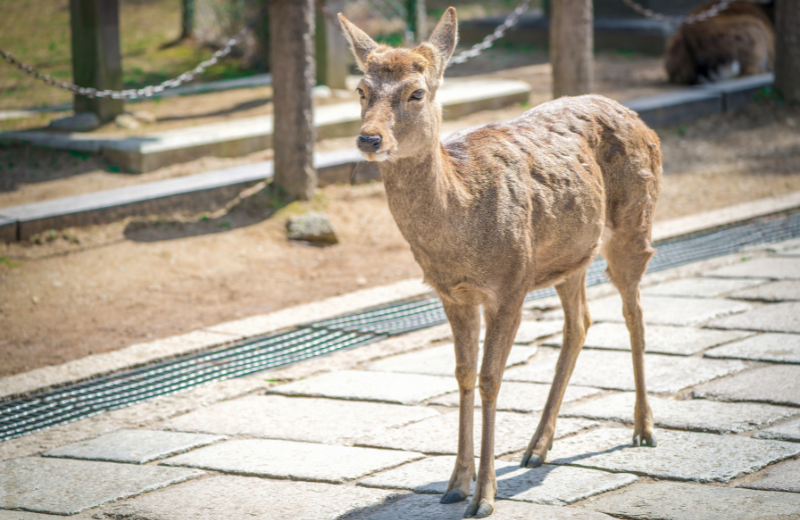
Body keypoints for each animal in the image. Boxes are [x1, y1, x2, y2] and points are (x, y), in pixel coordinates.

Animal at [340, 7, 660, 516]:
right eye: (361, 90)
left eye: (417, 92)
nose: (369, 138)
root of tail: (639, 117)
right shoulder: (452, 293)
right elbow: (463, 374)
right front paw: (455, 484)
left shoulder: (509, 284)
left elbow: (491, 378)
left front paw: (484, 496)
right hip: (568, 255)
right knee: (580, 322)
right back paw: (537, 446)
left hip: (634, 226)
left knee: (634, 312)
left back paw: (644, 429)